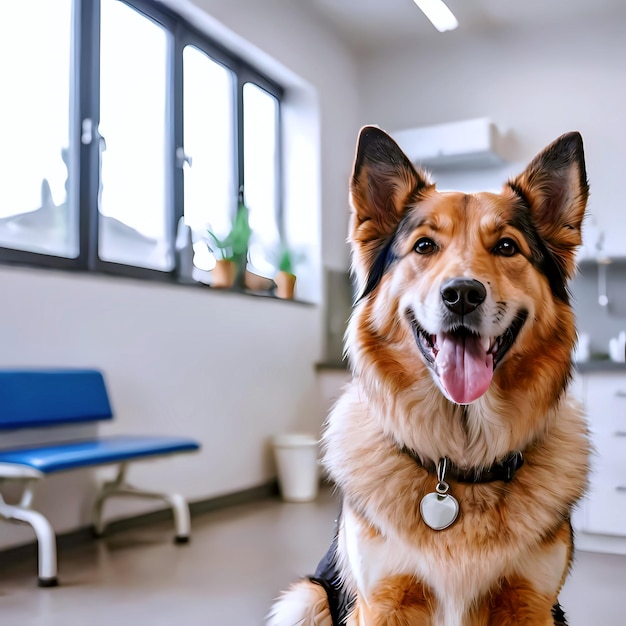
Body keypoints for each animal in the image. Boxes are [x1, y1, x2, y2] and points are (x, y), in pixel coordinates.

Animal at [266, 127, 588, 624]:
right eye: (424, 246)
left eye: (507, 247)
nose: (462, 294)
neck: (458, 465)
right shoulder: (382, 602)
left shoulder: (530, 603)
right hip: (305, 598)